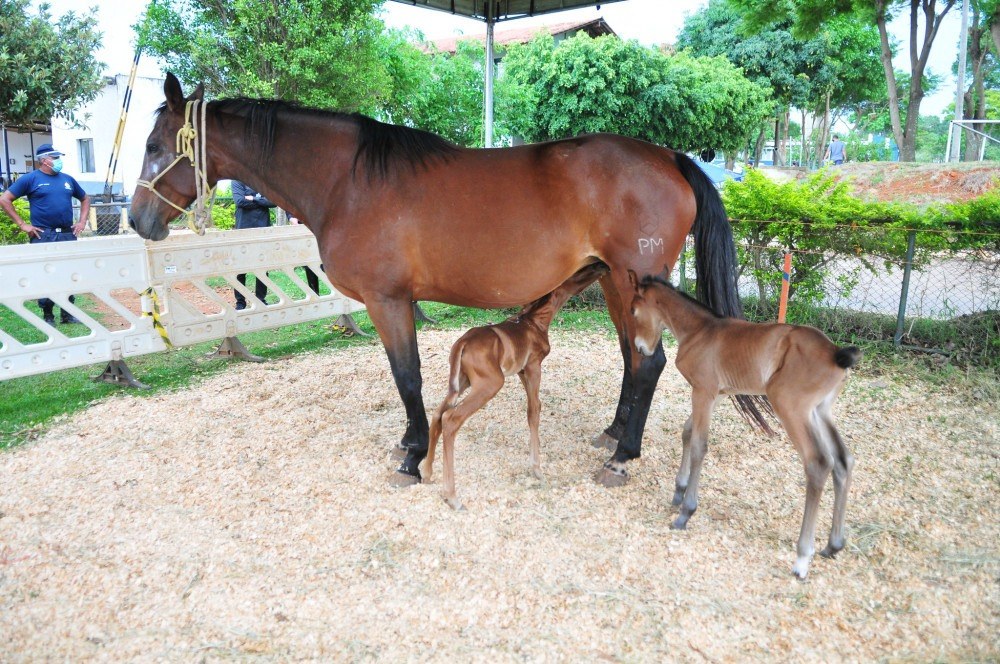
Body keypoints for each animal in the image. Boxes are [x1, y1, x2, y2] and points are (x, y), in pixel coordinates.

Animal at [422, 260, 608, 508]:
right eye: (579, 273)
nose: (602, 265)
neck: (535, 320)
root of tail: (462, 343)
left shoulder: (520, 371)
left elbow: (531, 410)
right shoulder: (534, 366)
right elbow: (535, 410)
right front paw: (537, 470)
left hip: (461, 382)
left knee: (437, 414)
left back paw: (426, 473)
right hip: (490, 383)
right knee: (451, 418)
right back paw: (452, 497)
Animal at [632, 272, 860, 580]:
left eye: (634, 310)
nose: (640, 348)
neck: (700, 331)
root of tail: (836, 352)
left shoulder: (703, 390)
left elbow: (699, 445)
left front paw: (686, 513)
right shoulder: (715, 393)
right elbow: (688, 431)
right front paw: (679, 491)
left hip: (791, 407)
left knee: (819, 463)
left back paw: (802, 558)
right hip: (820, 411)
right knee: (843, 460)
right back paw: (833, 544)